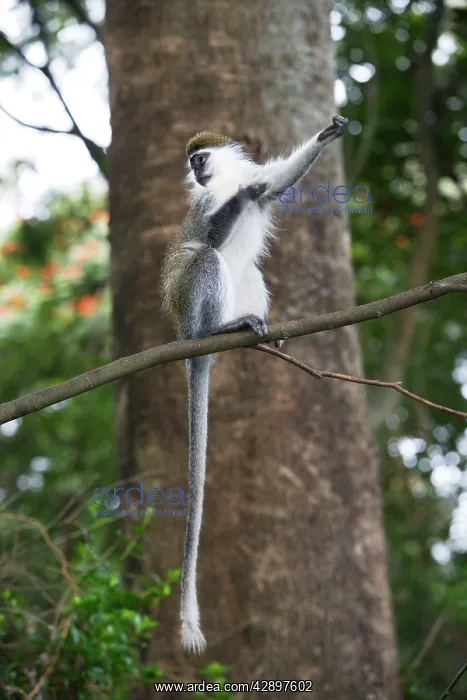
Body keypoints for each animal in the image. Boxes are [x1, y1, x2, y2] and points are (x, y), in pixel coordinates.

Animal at [161, 115, 348, 654]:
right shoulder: (207, 206)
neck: (223, 182)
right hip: (190, 305)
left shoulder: (256, 182)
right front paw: (238, 198)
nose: (196, 173)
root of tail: (183, 336)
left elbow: (276, 183)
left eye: (200, 158)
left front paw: (329, 134)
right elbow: (210, 229)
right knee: (204, 257)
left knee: (250, 272)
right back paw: (217, 331)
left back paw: (258, 334)